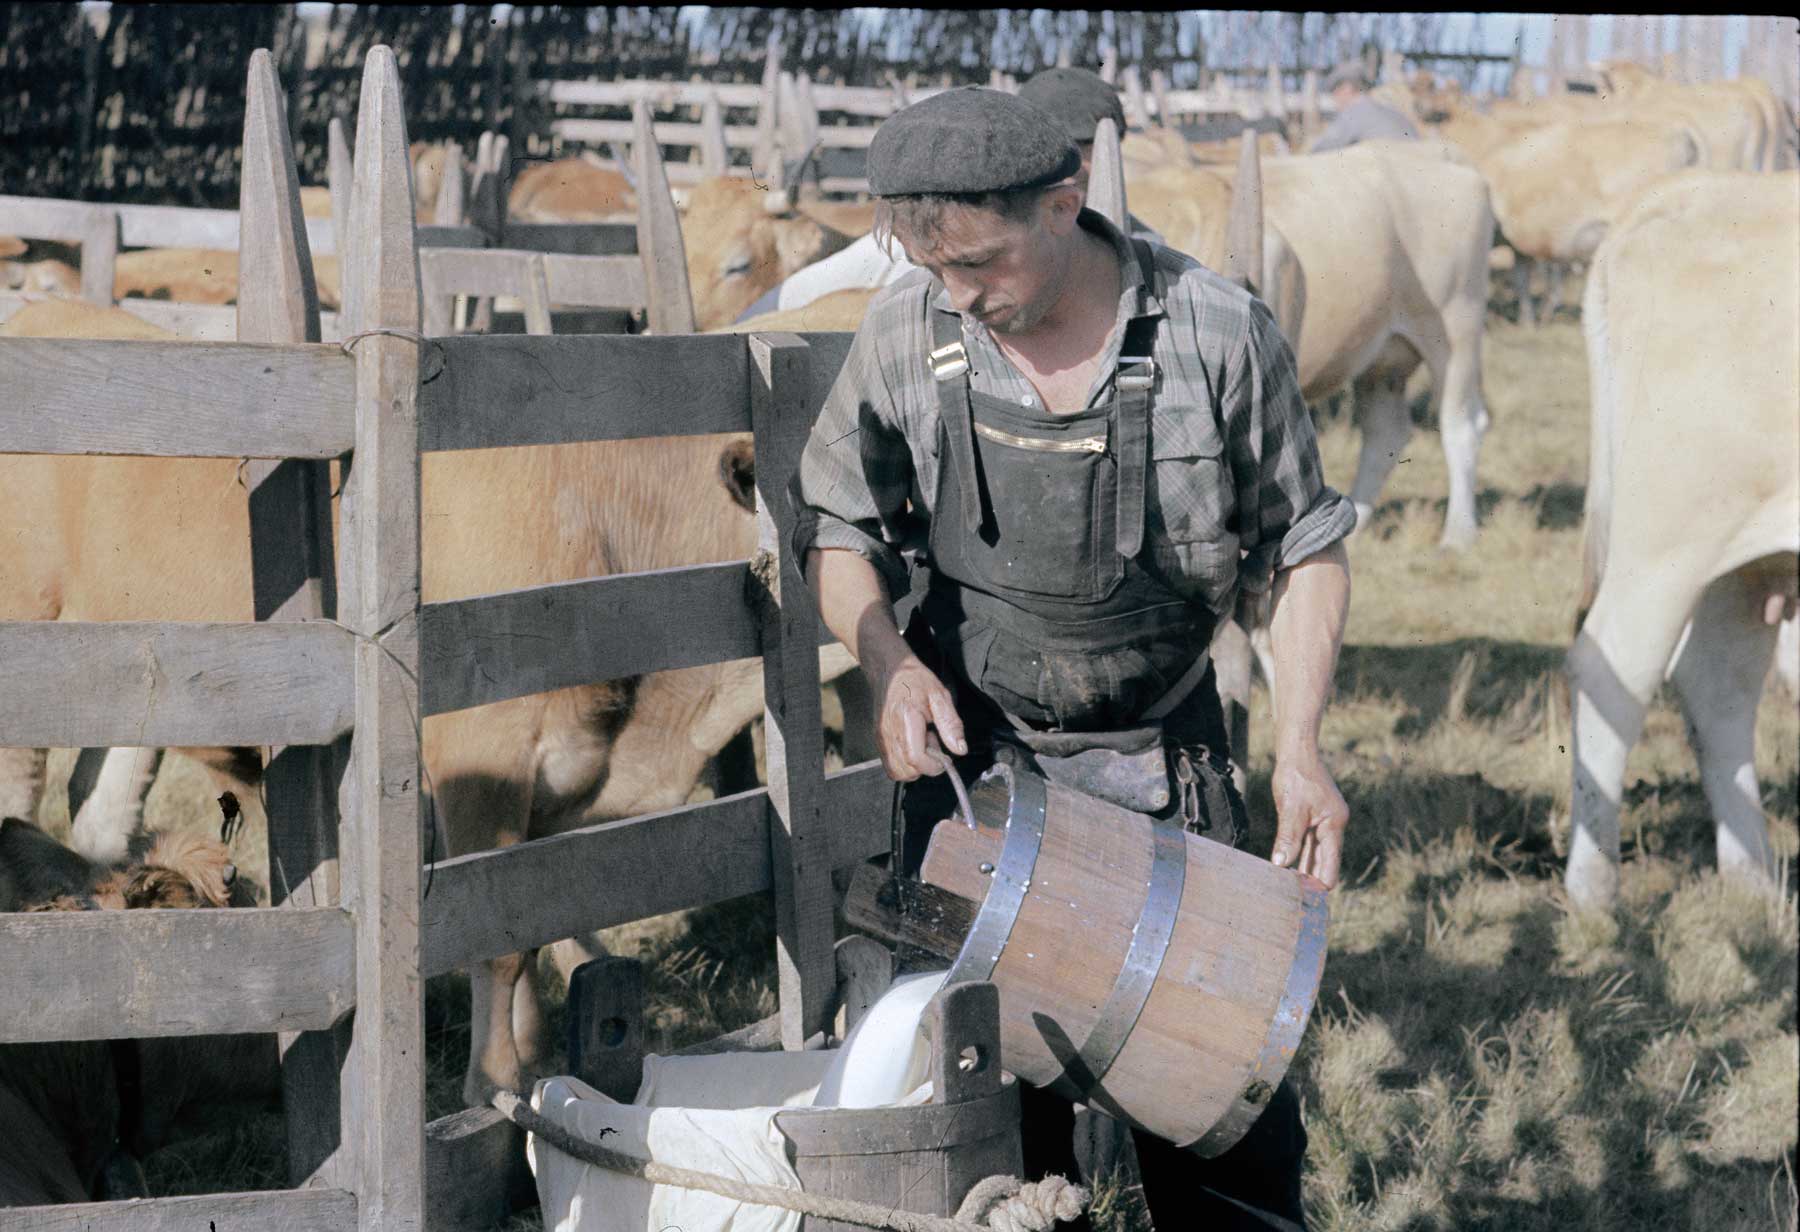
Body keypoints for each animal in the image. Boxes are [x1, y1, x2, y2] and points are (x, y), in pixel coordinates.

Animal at [1562, 168, 1800, 907]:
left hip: (1742, 557)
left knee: (1719, 687)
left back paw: (1754, 882)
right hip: (1669, 539)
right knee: (1612, 670)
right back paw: (1593, 892)